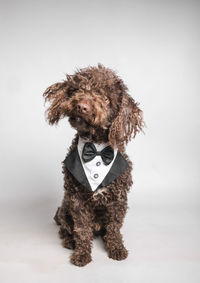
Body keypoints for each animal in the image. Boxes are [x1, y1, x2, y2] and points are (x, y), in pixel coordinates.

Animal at [43, 63, 144, 268]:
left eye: (106, 99)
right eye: (80, 89)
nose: (82, 106)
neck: (96, 147)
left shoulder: (118, 200)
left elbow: (114, 228)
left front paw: (117, 248)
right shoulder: (77, 200)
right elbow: (82, 230)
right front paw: (81, 254)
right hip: (64, 208)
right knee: (65, 227)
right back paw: (69, 241)